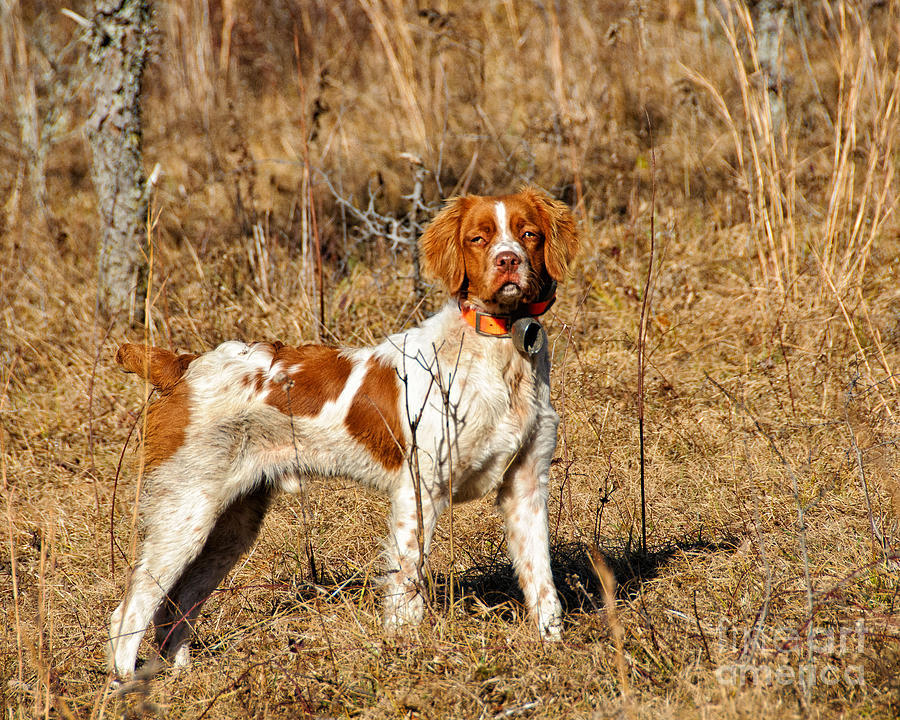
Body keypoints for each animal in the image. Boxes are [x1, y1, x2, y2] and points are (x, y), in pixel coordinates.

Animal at [109, 186, 576, 676]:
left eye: (529, 234)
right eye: (478, 238)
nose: (509, 260)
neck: (498, 353)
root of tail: (183, 366)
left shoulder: (526, 486)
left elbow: (543, 585)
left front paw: (553, 652)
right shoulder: (420, 490)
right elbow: (407, 587)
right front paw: (406, 654)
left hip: (230, 525)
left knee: (176, 606)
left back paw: (181, 676)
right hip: (186, 511)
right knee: (131, 610)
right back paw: (126, 683)